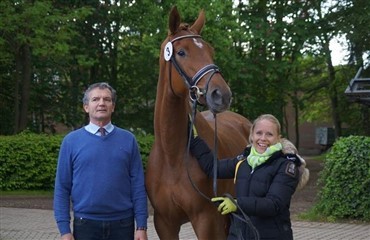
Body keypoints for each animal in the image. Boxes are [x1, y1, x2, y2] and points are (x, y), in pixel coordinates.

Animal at [145, 6, 251, 240]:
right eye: (181, 52)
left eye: (211, 51)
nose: (222, 94)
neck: (173, 156)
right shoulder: (164, 222)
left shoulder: (206, 219)